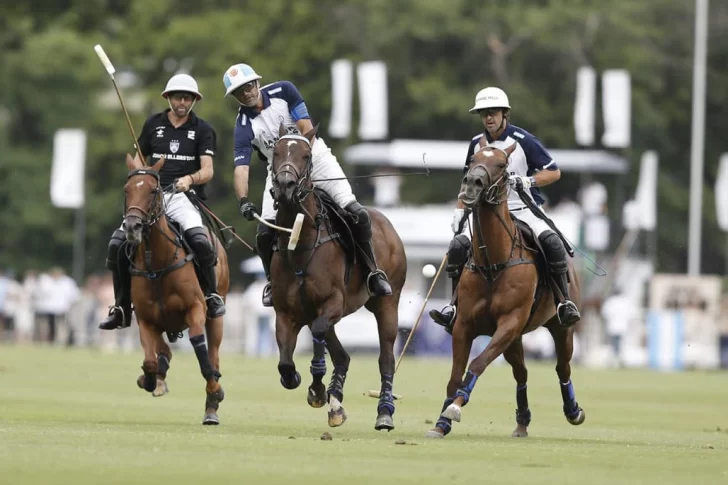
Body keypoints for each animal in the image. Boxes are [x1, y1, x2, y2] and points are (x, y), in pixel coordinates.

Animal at [122, 154, 229, 424]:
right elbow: (150, 361)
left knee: (214, 353)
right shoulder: (146, 319)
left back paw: (211, 408)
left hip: (217, 313)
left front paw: (215, 391)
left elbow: (201, 350)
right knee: (164, 352)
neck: (157, 262)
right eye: (126, 189)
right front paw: (148, 379)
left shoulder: (196, 307)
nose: (132, 227)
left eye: (153, 190)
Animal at [268, 124, 406, 428]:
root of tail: (387, 221)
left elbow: (322, 336)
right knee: (340, 353)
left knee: (386, 359)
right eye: (275, 152)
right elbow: (286, 365)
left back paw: (384, 412)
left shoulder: (332, 302)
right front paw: (313, 388)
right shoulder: (286, 312)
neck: (301, 244)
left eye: (307, 155)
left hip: (387, 304)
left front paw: (320, 388)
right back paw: (335, 401)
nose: (285, 186)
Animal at [426, 141, 584, 438]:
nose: (471, 185)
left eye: (502, 165)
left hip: (559, 327)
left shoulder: (509, 322)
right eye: (472, 160)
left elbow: (477, 363)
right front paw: (441, 422)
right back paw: (522, 421)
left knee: (563, 367)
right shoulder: (464, 325)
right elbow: (454, 375)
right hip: (516, 338)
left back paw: (573, 411)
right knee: (521, 373)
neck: (493, 263)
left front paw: (454, 407)